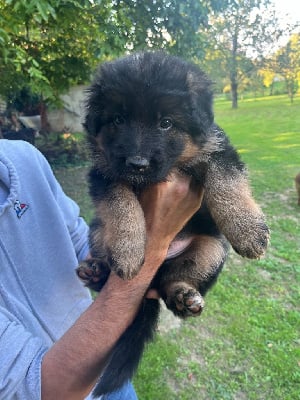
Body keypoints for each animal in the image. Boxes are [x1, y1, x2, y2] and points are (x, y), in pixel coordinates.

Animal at [77, 50, 270, 396]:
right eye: (117, 120)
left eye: (166, 123)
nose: (137, 164)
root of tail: (150, 284)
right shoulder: (105, 172)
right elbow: (121, 203)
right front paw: (128, 250)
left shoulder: (218, 148)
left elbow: (226, 180)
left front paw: (247, 230)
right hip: (98, 230)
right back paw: (97, 270)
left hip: (211, 248)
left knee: (172, 284)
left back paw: (182, 295)